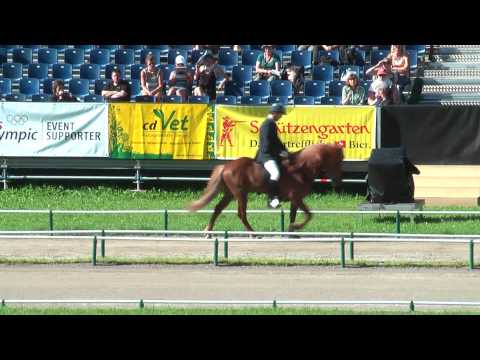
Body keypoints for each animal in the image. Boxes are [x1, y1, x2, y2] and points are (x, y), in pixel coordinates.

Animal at [188, 142, 344, 232]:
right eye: (336, 161)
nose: (338, 182)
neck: (301, 169)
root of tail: (226, 166)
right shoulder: (296, 198)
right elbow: (309, 215)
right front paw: (296, 227)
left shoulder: (295, 200)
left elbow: (293, 216)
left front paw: (291, 231)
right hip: (240, 194)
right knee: (241, 214)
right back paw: (253, 234)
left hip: (230, 194)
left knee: (218, 209)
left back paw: (208, 231)